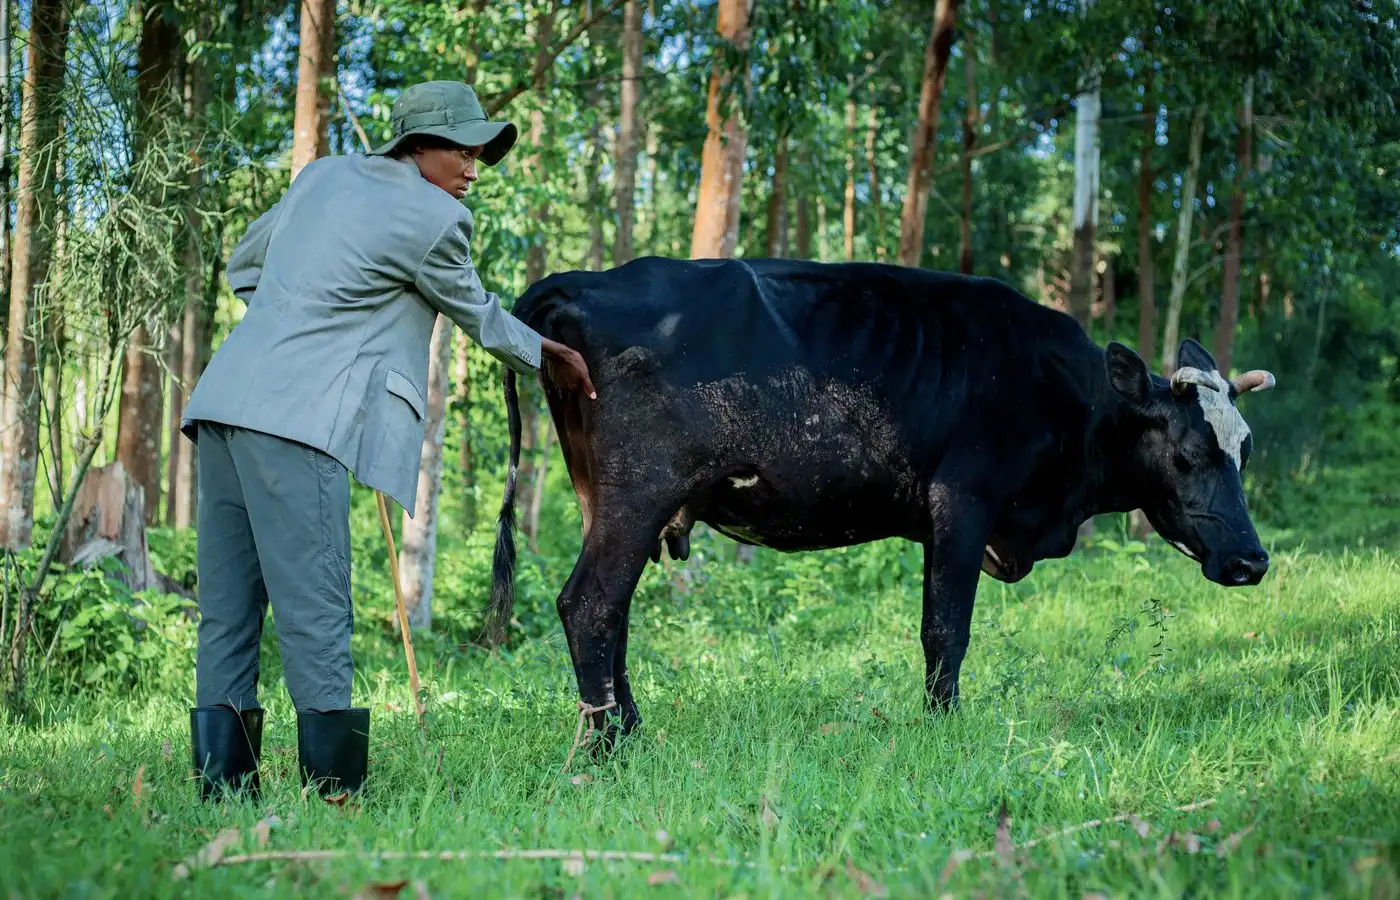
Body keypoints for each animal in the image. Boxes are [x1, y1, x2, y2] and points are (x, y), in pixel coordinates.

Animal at [486, 256, 1276, 749]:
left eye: (1245, 449)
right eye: (1188, 454)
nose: (1252, 560)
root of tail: (581, 283)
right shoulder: (964, 502)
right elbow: (946, 630)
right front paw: (943, 726)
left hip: (602, 495)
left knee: (611, 611)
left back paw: (628, 728)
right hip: (641, 490)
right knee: (591, 603)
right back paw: (607, 746)